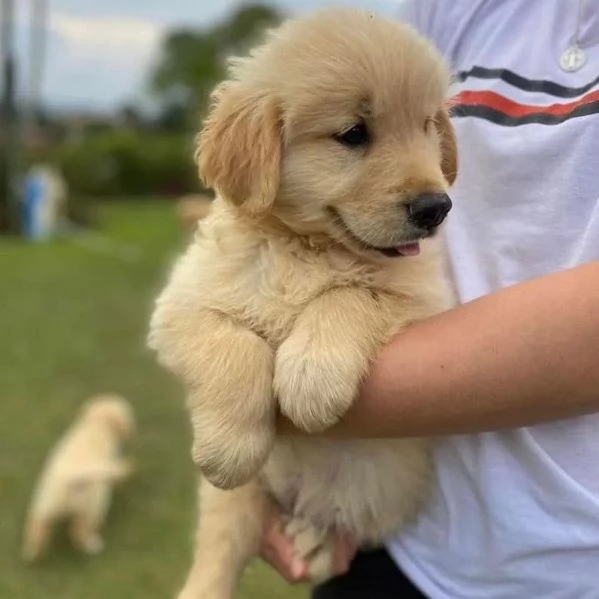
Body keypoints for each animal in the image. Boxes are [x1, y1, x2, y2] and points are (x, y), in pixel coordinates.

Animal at [22, 394, 135, 564]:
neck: (96, 424)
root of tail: (72, 477)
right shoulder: (109, 463)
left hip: (45, 503)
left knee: (36, 527)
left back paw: (32, 554)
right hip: (92, 505)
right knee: (80, 531)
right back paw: (93, 545)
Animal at [148, 9, 458, 599]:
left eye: (428, 126)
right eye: (353, 134)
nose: (436, 207)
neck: (306, 246)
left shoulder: (428, 300)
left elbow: (349, 294)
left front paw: (310, 379)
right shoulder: (181, 305)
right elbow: (233, 345)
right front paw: (229, 446)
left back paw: (313, 540)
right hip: (237, 501)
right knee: (219, 550)